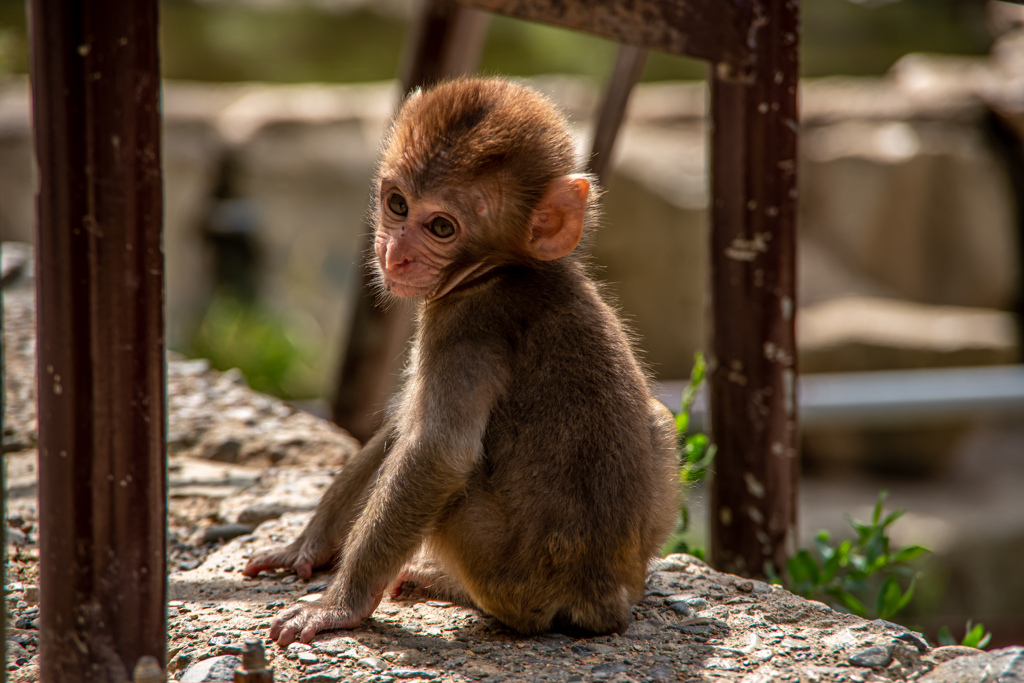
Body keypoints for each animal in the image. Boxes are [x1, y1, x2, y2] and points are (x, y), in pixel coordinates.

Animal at [241, 77, 679, 643]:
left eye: (442, 227)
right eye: (398, 204)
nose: (395, 254)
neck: (501, 269)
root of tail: (600, 600)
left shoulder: (465, 329)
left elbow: (435, 451)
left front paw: (338, 605)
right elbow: (398, 432)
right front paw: (305, 548)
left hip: (508, 576)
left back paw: (447, 585)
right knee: (660, 419)